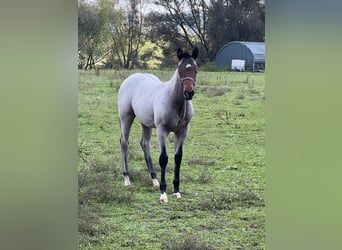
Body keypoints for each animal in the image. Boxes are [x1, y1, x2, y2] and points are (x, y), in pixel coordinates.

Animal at [117, 47, 198, 203]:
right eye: (180, 68)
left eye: (195, 69)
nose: (189, 93)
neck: (176, 103)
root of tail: (130, 78)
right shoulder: (162, 130)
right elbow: (164, 159)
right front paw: (163, 193)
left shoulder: (182, 131)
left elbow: (178, 158)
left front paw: (176, 191)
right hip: (126, 117)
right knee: (124, 142)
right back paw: (127, 179)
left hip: (145, 122)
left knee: (145, 143)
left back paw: (154, 179)